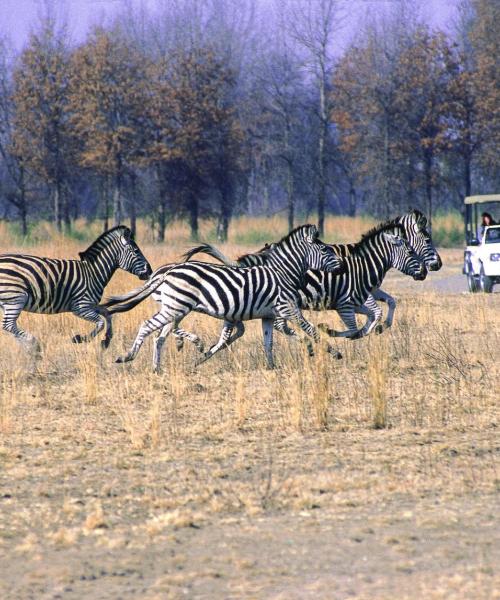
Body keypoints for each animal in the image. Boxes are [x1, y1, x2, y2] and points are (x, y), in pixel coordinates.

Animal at [0, 226, 152, 352]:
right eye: (136, 251)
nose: (150, 271)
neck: (93, 273)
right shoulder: (80, 307)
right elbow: (101, 323)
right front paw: (80, 339)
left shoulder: (90, 304)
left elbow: (107, 314)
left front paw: (106, 340)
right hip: (15, 298)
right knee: (8, 325)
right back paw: (34, 344)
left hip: (8, 301)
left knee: (11, 327)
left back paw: (28, 346)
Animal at [100, 225, 346, 370]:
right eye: (325, 250)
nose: (343, 265)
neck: (282, 272)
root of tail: (167, 272)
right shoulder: (287, 309)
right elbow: (312, 330)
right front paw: (334, 352)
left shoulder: (267, 315)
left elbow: (268, 343)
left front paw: (271, 367)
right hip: (176, 307)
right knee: (147, 326)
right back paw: (127, 356)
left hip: (175, 308)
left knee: (160, 336)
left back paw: (157, 368)